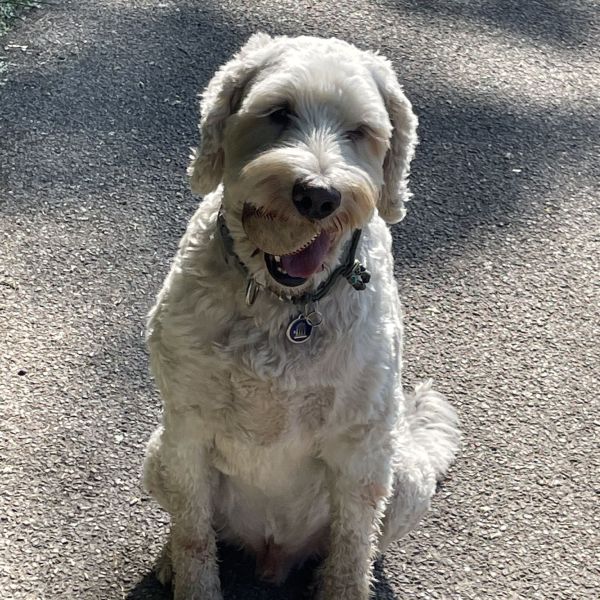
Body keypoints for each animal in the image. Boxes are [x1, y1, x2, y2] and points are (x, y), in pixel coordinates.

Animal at [143, 34, 462, 600]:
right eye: (278, 112)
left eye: (360, 132)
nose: (317, 195)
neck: (287, 305)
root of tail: (273, 552)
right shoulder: (186, 427)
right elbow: (193, 535)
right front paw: (189, 577)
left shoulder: (362, 449)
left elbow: (352, 547)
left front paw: (348, 584)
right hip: (158, 454)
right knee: (196, 524)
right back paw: (168, 561)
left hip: (402, 478)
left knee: (358, 544)